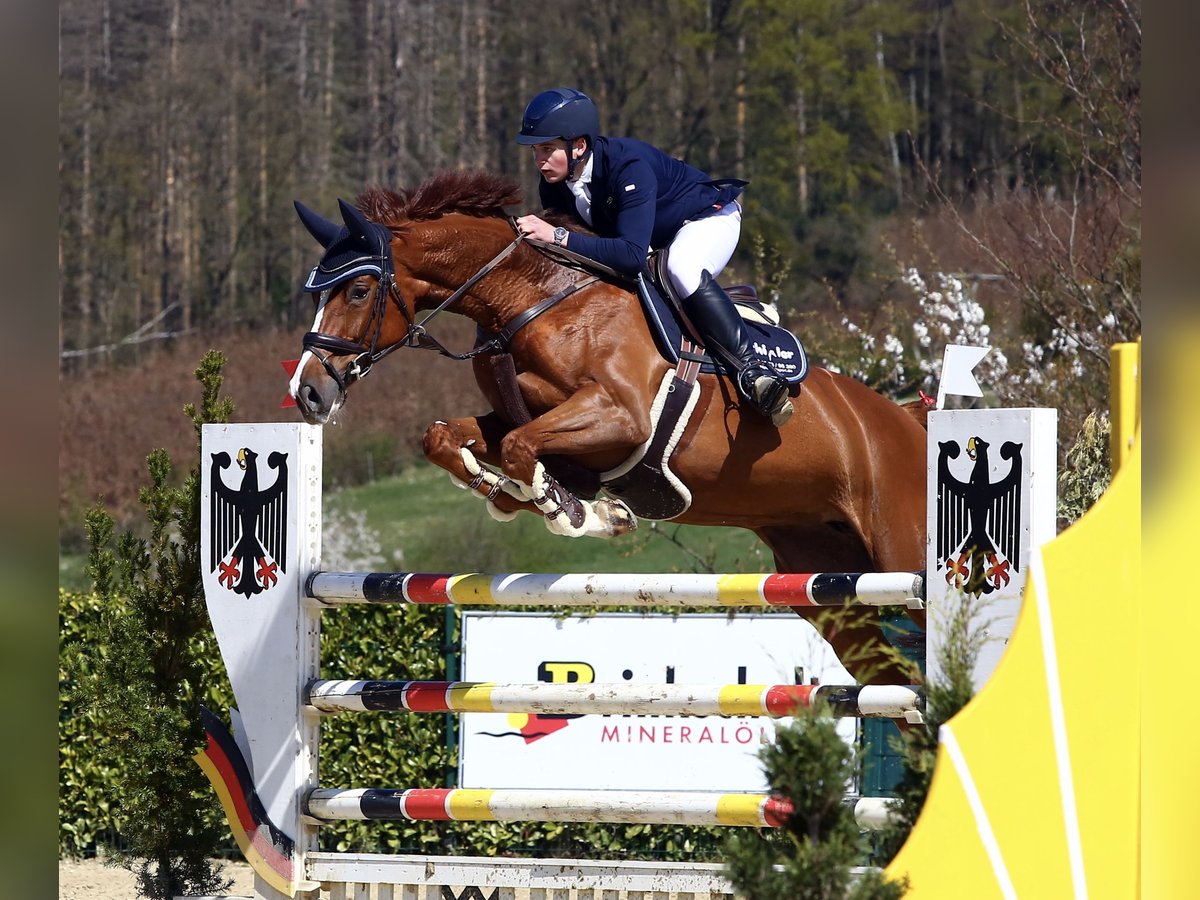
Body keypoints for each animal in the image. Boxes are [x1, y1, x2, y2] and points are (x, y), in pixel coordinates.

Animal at [292, 172, 926, 686]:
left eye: (357, 290)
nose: (308, 392)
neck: (531, 300)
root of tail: (912, 419)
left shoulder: (621, 418)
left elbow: (523, 449)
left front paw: (580, 511)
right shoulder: (524, 418)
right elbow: (448, 438)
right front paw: (516, 495)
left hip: (899, 552)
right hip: (824, 582)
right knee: (895, 680)